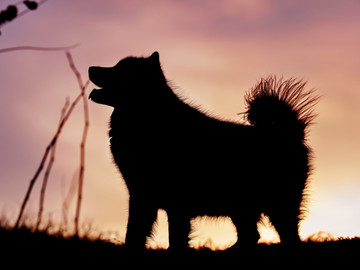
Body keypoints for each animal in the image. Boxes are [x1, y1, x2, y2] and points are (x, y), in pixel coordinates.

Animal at [88, 51, 320, 250]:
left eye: (119, 69)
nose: (91, 68)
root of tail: (286, 134)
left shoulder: (171, 201)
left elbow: (173, 238)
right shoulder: (142, 195)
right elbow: (135, 233)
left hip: (278, 205)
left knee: (288, 238)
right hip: (242, 208)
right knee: (251, 236)